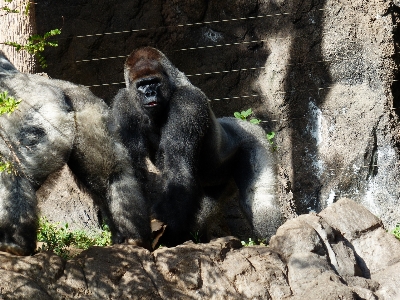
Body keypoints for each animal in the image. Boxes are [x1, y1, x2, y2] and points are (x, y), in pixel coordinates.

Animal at [109, 47, 282, 246]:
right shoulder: (123, 104)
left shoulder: (188, 103)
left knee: (257, 196)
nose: (149, 93)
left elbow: (178, 170)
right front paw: (130, 232)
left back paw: (274, 235)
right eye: (142, 85)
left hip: (255, 138)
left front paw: (166, 234)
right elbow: (130, 168)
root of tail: (243, 123)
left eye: (154, 82)